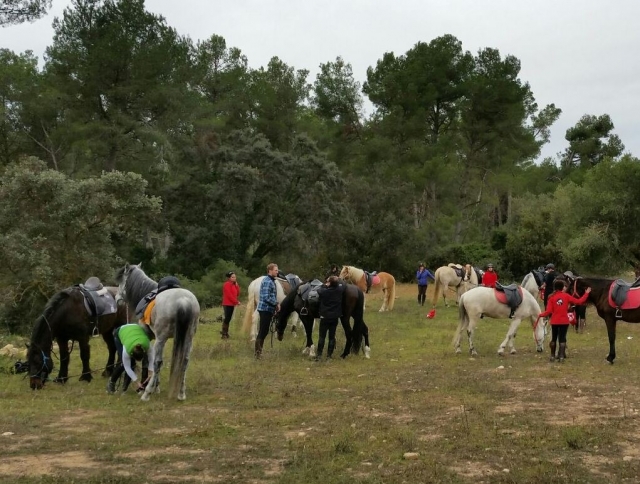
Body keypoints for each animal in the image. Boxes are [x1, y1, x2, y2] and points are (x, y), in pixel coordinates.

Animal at [115, 263, 199, 401]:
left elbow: (148, 361)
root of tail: (183, 301)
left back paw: (146, 393)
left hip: (161, 339)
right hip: (188, 337)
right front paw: (157, 387)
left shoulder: (148, 336)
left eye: (122, 282)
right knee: (185, 361)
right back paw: (181, 393)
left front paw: (149, 388)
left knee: (157, 362)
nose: (117, 298)